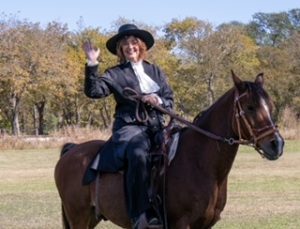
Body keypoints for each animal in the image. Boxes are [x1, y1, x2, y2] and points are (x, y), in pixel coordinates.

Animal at [54, 72, 284, 229]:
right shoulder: (181, 224)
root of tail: (71, 151)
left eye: (270, 106)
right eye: (250, 107)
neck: (199, 162)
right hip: (78, 217)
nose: (277, 144)